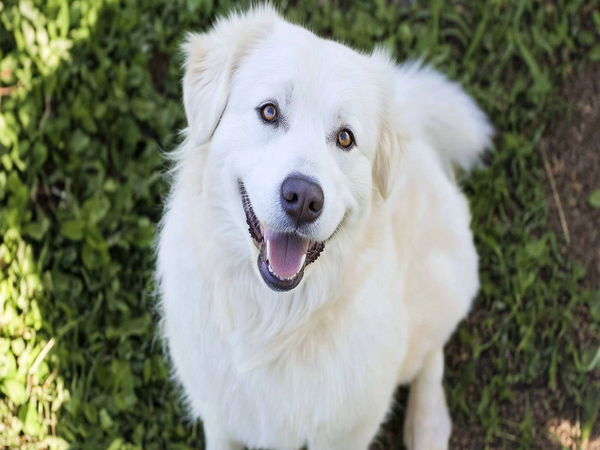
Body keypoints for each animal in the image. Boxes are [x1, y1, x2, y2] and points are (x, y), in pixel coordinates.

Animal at [157, 5, 494, 448]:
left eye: (345, 138)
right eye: (269, 111)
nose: (303, 199)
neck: (272, 321)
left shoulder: (347, 429)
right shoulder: (221, 417)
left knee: (428, 353)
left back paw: (428, 425)